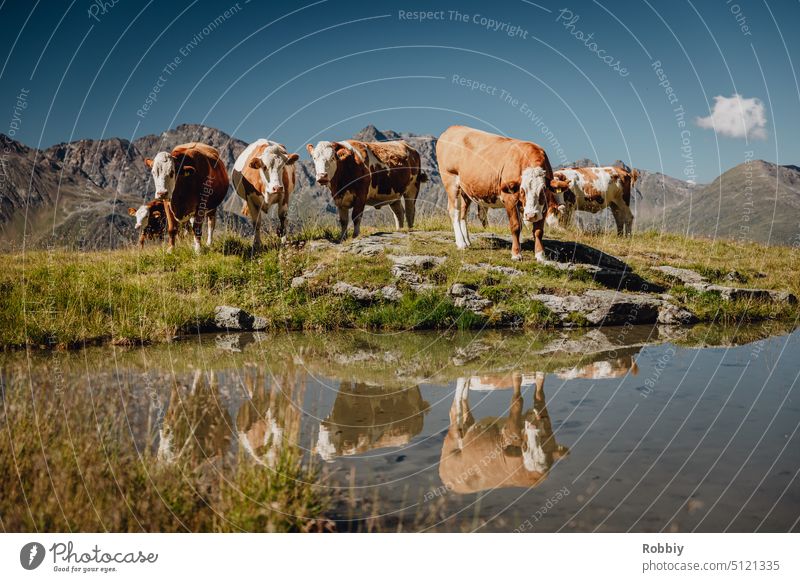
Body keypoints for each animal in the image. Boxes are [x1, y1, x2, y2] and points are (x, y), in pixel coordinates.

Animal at [434, 128, 560, 264]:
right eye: (522, 190)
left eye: (543, 190)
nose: (531, 215)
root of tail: (453, 128)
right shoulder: (510, 198)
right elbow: (516, 226)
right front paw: (516, 254)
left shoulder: (544, 206)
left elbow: (538, 231)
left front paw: (540, 255)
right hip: (450, 180)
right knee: (454, 211)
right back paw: (461, 243)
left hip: (466, 189)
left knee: (463, 213)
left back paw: (467, 241)